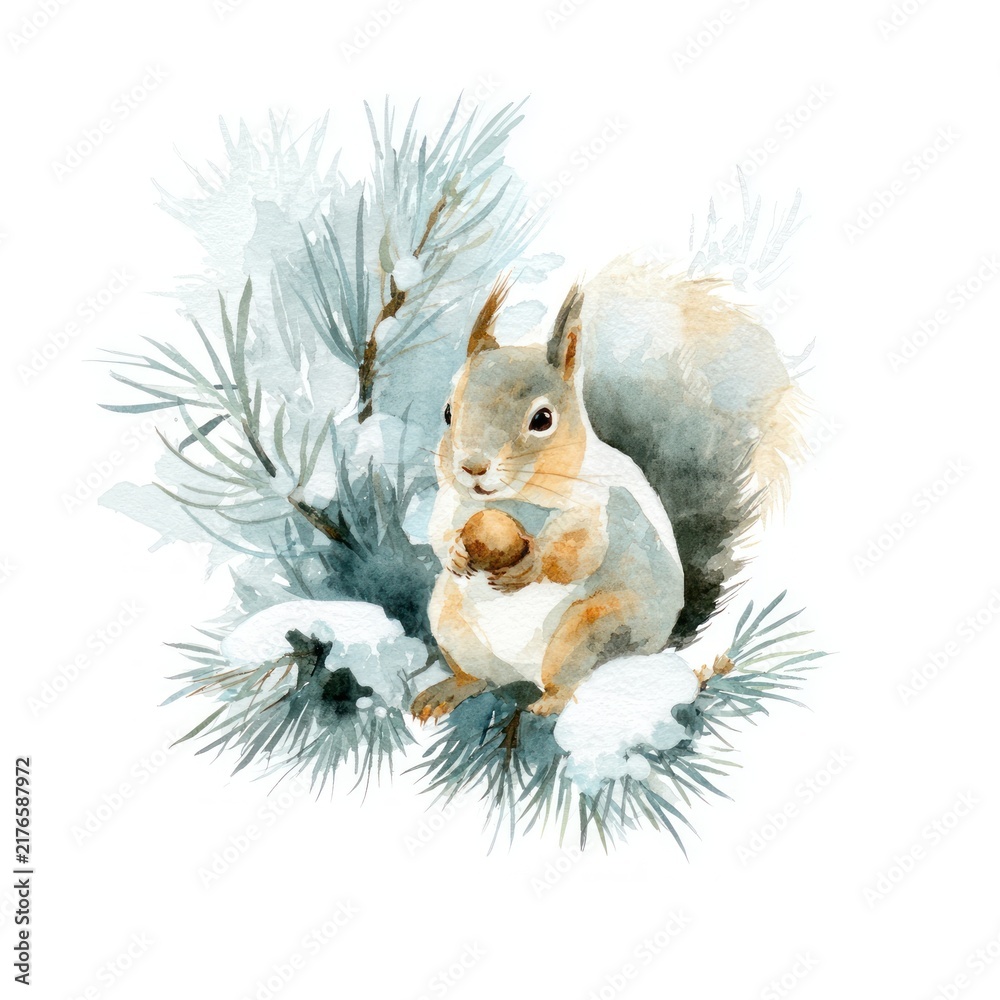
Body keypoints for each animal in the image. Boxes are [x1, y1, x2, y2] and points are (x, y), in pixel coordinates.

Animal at [411, 257, 804, 722]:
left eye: (542, 419)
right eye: (447, 412)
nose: (472, 466)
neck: (515, 500)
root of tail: (521, 675)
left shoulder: (597, 504)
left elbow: (580, 549)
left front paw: (534, 562)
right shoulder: (451, 500)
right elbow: (437, 530)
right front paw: (455, 550)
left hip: (592, 628)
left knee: (567, 680)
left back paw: (551, 704)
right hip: (450, 621)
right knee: (479, 677)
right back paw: (447, 691)